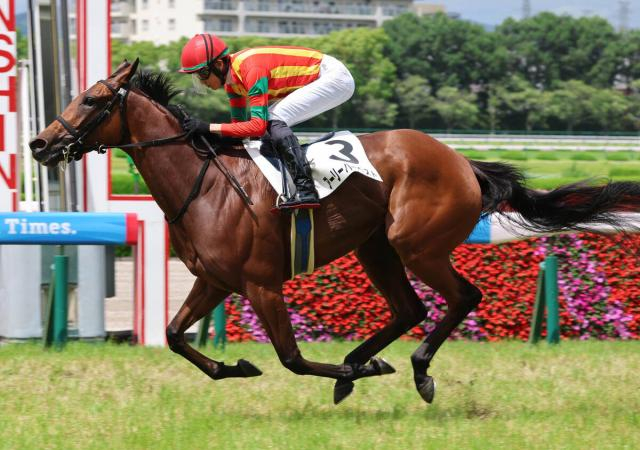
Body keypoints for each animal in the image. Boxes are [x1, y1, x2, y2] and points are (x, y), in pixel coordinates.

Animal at [30, 59, 640, 405]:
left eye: (92, 99)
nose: (39, 143)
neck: (206, 185)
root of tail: (463, 161)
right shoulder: (214, 280)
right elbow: (177, 335)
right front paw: (234, 366)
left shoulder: (261, 284)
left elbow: (291, 358)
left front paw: (353, 369)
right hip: (376, 247)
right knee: (411, 308)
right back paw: (366, 363)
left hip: (415, 244)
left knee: (462, 297)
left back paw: (413, 369)